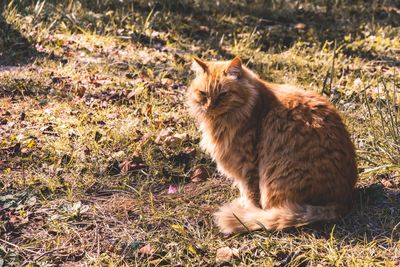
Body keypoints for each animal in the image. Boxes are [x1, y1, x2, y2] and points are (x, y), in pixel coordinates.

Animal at [186, 56, 358, 234]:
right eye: (204, 94)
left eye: (223, 94)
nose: (209, 107)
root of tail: (343, 200)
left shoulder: (248, 166)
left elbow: (250, 195)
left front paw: (247, 211)